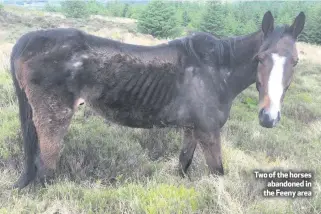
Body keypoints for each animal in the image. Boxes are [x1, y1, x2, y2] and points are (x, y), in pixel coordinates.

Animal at [10, 11, 304, 189]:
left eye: (295, 61)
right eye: (260, 58)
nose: (269, 117)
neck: (217, 70)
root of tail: (27, 40)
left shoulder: (192, 129)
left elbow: (183, 165)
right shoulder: (209, 132)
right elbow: (217, 172)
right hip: (54, 117)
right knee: (46, 167)